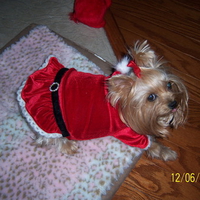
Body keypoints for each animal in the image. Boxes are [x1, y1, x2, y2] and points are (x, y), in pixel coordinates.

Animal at [17, 40, 188, 161]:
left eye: (169, 85)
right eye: (151, 97)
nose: (174, 103)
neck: (122, 106)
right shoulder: (128, 132)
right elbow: (149, 145)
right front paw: (166, 152)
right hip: (49, 122)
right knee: (49, 138)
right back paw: (69, 145)